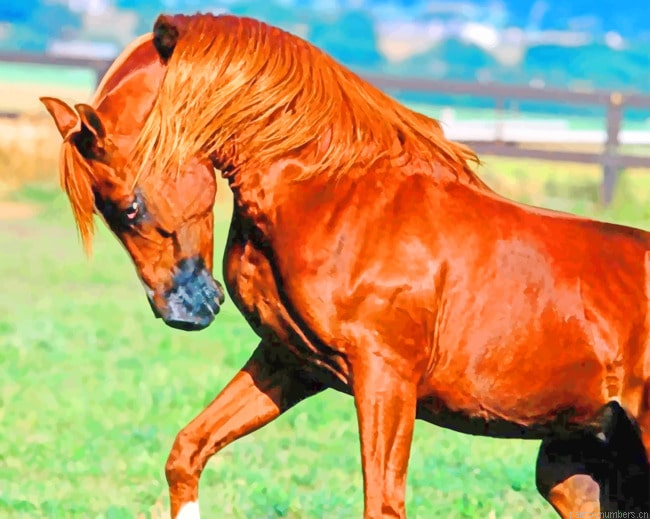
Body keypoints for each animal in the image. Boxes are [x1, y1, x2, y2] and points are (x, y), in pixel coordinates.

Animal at [41, 12, 650, 519]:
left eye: (128, 206)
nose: (183, 309)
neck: (335, 193)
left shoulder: (385, 377)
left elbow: (381, 503)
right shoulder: (291, 362)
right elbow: (187, 450)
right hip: (573, 472)